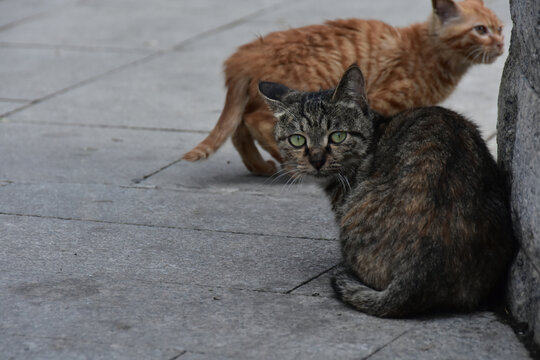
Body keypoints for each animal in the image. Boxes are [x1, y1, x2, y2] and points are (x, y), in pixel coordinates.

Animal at [184, 0, 504, 177]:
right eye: (480, 30)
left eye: (500, 28)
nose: (502, 44)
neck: (428, 50)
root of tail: (241, 57)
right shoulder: (381, 100)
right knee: (255, 122)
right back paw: (289, 165)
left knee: (238, 129)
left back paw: (259, 167)